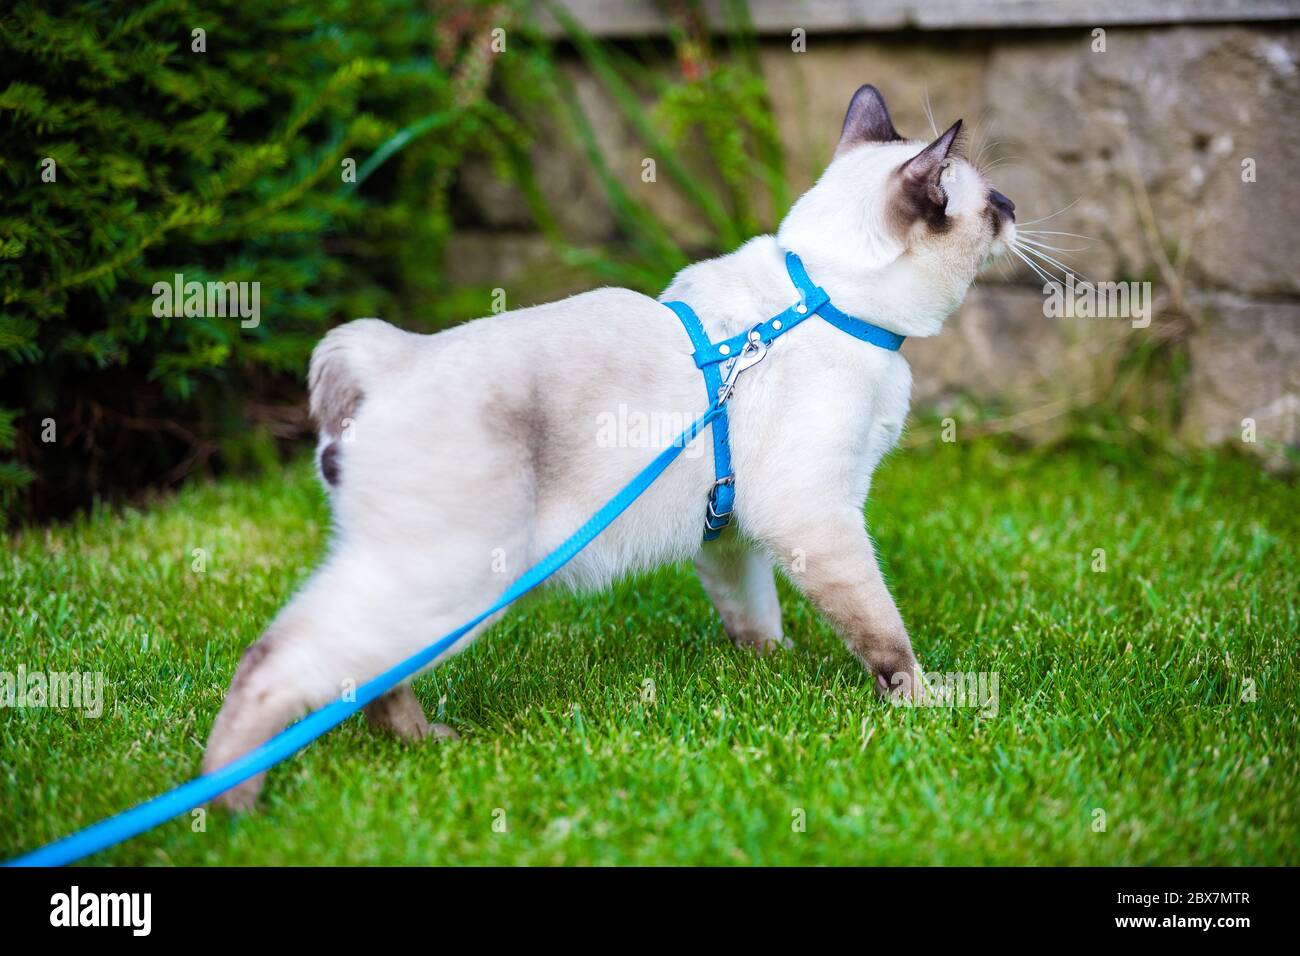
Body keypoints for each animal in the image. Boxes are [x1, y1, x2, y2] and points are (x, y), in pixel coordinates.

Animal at [202, 85, 1013, 811]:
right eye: (989, 200)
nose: (1012, 209)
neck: (830, 299)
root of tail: (390, 358)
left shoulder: (734, 532)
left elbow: (754, 614)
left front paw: (770, 672)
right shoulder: (817, 516)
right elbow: (882, 632)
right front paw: (923, 702)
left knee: (366, 679)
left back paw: (424, 744)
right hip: (450, 581)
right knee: (278, 663)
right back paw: (233, 803)